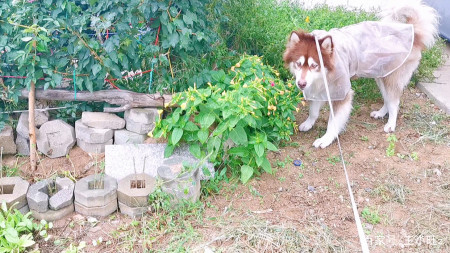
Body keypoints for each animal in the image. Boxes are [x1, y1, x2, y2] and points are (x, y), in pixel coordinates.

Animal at [284, 0, 440, 148]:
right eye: (298, 63)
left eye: (314, 65)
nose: (301, 84)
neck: (324, 73)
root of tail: (412, 30)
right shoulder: (318, 88)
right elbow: (313, 111)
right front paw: (308, 123)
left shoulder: (341, 93)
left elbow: (333, 123)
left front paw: (326, 139)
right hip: (381, 75)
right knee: (388, 99)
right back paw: (381, 113)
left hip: (391, 77)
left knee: (394, 102)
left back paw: (391, 124)